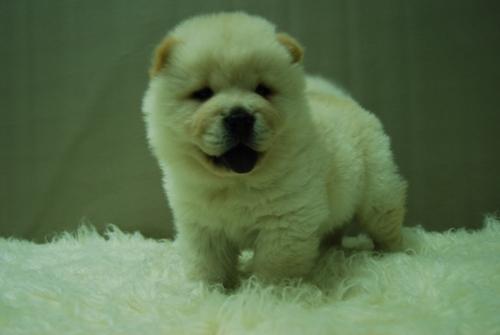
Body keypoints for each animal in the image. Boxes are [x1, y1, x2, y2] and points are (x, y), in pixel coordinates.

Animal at [143, 11, 408, 288]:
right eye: (203, 93)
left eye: (263, 90)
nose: (240, 118)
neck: (236, 183)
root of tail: (343, 99)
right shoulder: (202, 224)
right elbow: (207, 263)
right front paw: (208, 289)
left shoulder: (285, 223)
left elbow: (275, 267)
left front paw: (269, 292)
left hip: (378, 194)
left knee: (386, 222)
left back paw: (397, 255)